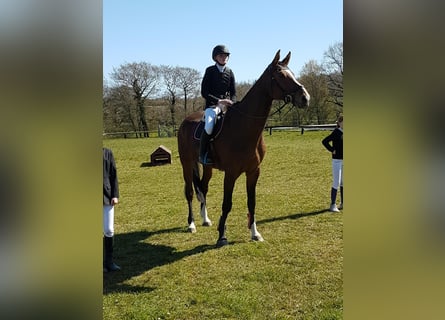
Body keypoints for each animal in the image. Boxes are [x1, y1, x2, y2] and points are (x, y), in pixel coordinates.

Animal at [177, 50, 308, 248]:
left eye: (292, 73)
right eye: (281, 75)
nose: (305, 98)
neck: (244, 127)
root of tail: (185, 121)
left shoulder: (253, 171)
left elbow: (251, 202)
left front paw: (255, 233)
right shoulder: (231, 173)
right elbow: (227, 203)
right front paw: (222, 236)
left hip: (207, 166)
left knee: (204, 188)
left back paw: (205, 219)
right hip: (186, 163)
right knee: (190, 192)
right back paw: (191, 224)